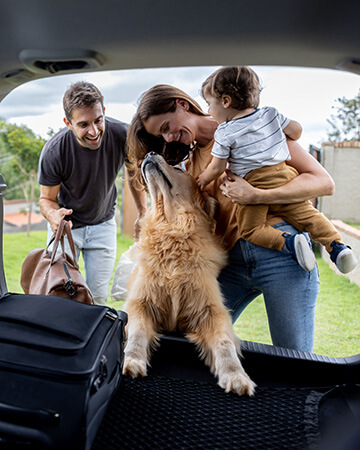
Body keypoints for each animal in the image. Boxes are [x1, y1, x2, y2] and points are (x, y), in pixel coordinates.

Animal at [122, 153, 255, 396]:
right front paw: (132, 361)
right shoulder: (139, 303)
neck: (172, 231)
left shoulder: (212, 311)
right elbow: (137, 332)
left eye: (178, 168)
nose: (150, 154)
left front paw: (236, 375)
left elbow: (224, 343)